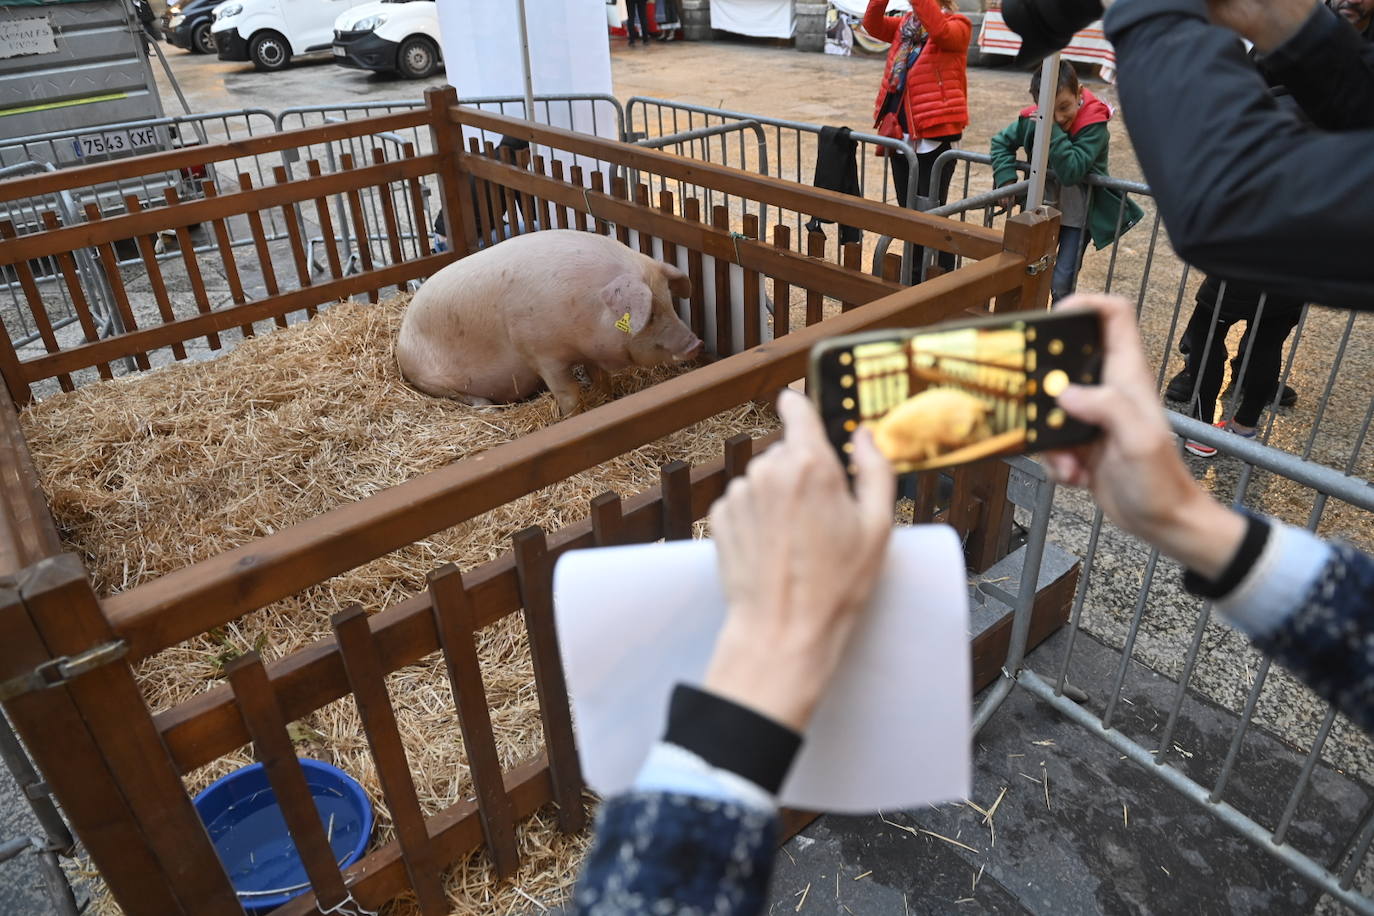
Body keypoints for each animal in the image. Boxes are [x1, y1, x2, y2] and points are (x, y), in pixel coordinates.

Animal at [395, 229, 697, 414]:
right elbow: (569, 393)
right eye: (651, 313)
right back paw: (489, 408)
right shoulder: (539, 353)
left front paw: (607, 398)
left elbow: (601, 377)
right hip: (431, 379)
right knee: (464, 396)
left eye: (669, 303)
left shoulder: (589, 350)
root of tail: (401, 339)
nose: (695, 344)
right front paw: (572, 416)